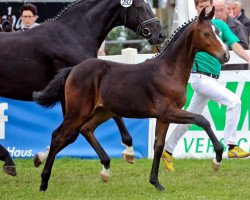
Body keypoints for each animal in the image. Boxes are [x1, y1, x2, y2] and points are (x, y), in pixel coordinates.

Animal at [0, 0, 166, 170]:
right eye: (139, 7)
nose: (160, 35)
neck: (73, 35)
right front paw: (128, 150)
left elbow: (70, 133)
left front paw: (40, 156)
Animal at [33, 7, 229, 191]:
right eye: (206, 33)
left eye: (218, 32)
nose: (225, 56)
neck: (168, 71)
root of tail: (73, 69)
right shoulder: (168, 112)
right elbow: (202, 120)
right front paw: (218, 158)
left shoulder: (163, 117)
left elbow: (158, 146)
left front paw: (156, 182)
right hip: (77, 112)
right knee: (59, 136)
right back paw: (43, 181)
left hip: (103, 111)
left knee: (86, 129)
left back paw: (105, 169)